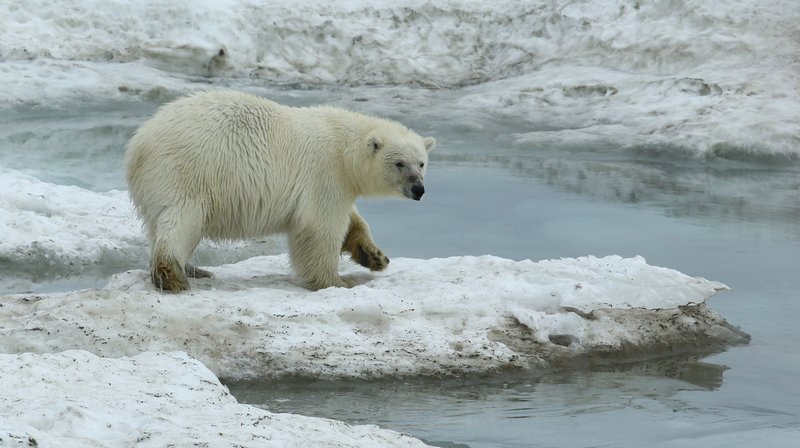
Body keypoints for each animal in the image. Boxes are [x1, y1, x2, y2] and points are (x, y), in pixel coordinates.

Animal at [125, 91, 434, 294]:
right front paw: (335, 282)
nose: (418, 189)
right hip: (187, 172)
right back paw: (174, 276)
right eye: (399, 163)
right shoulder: (324, 172)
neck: (344, 148)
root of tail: (138, 144)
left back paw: (194, 269)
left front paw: (375, 256)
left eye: (421, 163)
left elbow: (352, 220)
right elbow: (319, 228)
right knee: (181, 221)